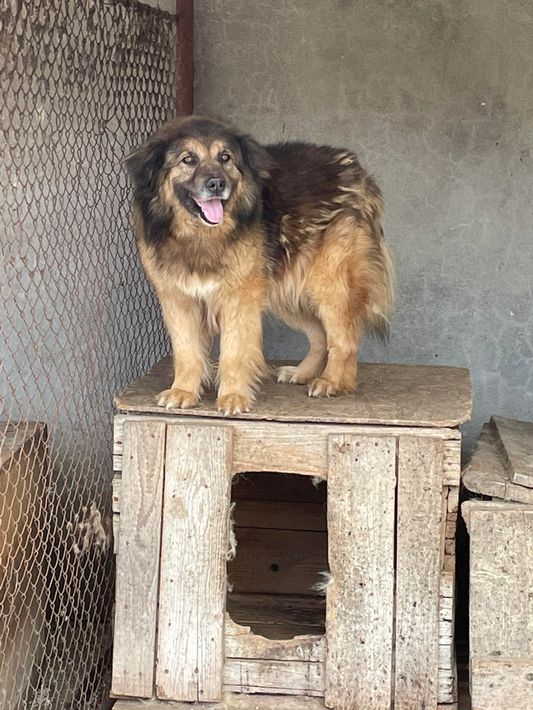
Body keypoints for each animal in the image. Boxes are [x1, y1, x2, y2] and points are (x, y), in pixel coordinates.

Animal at [125, 116, 393, 415]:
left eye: (225, 157)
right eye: (188, 160)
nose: (217, 184)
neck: (202, 237)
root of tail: (354, 168)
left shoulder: (239, 299)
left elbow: (233, 352)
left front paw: (232, 396)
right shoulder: (178, 300)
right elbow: (187, 352)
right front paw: (183, 390)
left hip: (328, 285)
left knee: (343, 339)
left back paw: (333, 381)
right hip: (290, 290)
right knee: (320, 336)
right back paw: (303, 373)